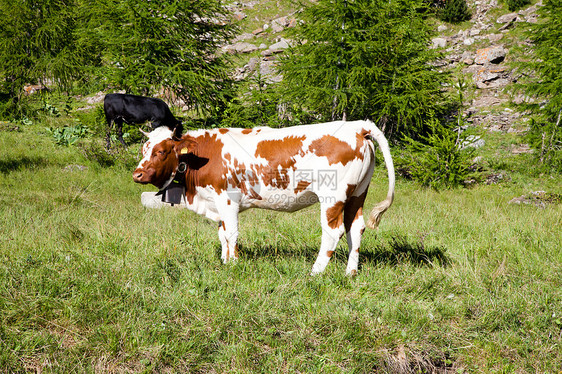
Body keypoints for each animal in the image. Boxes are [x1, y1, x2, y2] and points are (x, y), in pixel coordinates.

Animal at [132, 120, 394, 274]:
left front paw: (234, 265)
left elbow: (231, 233)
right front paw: (225, 262)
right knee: (355, 229)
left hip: (333, 197)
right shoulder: (216, 203)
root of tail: (358, 126)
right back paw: (351, 272)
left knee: (333, 231)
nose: (137, 174)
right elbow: (222, 234)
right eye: (144, 149)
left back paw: (316, 272)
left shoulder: (227, 198)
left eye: (161, 151)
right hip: (358, 193)